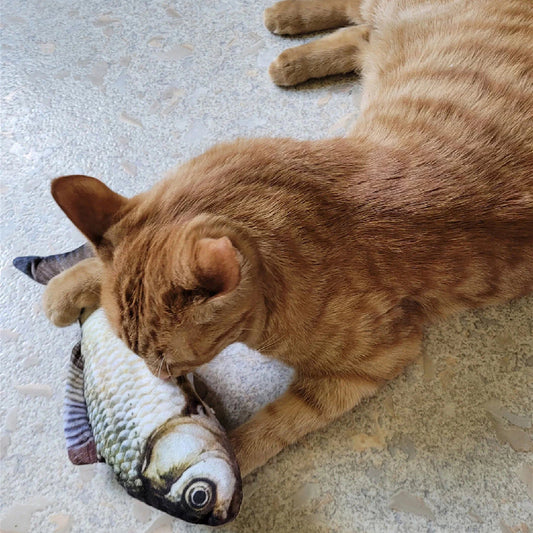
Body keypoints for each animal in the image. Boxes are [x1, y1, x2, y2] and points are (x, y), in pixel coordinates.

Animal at [42, 0, 533, 477]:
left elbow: (276, 425)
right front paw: (66, 288)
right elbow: (98, 262)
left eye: (169, 362)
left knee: (362, 27)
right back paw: (288, 37)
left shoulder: (368, 366)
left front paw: (227, 464)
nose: (154, 376)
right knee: (360, 26)